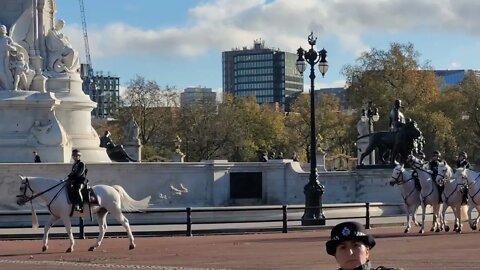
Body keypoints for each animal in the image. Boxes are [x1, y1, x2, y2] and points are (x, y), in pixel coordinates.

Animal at [15, 176, 150, 252]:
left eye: (21, 188)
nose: (18, 202)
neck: (53, 192)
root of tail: (112, 188)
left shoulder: (64, 216)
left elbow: (68, 230)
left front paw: (71, 247)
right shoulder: (55, 216)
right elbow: (46, 228)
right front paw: (44, 246)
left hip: (115, 211)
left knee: (125, 223)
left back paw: (132, 244)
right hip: (101, 213)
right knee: (103, 228)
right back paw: (94, 246)